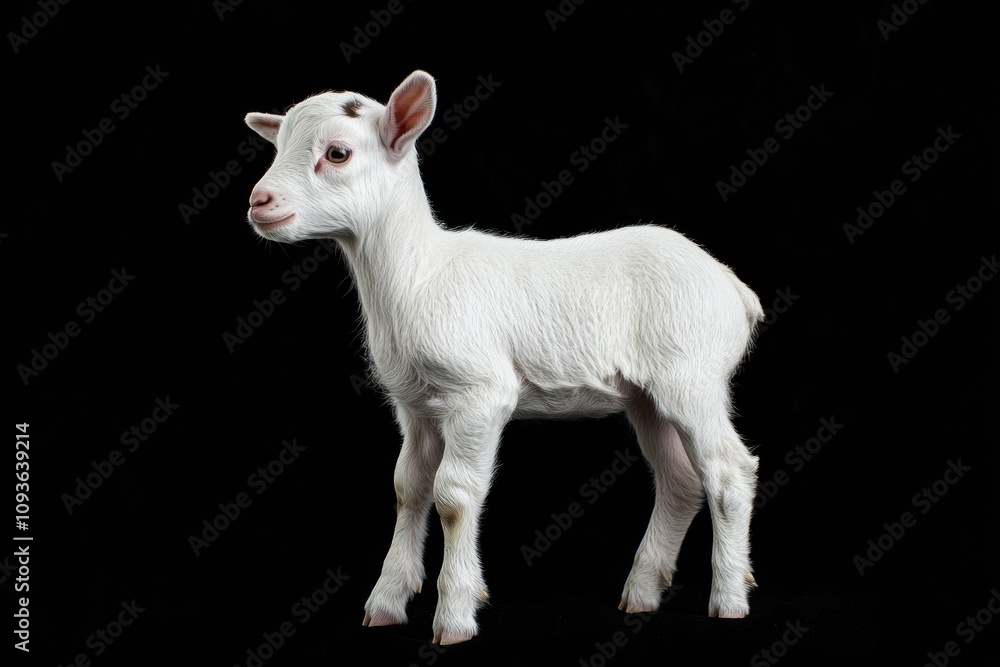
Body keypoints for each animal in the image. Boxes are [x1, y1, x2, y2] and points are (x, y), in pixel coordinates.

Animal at [245, 70, 763, 644]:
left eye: (337, 153)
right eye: (278, 145)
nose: (259, 201)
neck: (418, 274)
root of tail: (733, 287)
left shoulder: (480, 393)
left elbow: (453, 495)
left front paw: (454, 614)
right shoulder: (415, 404)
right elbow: (408, 487)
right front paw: (386, 604)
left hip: (692, 374)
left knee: (728, 472)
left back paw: (729, 600)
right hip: (647, 394)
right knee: (679, 480)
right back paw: (641, 595)